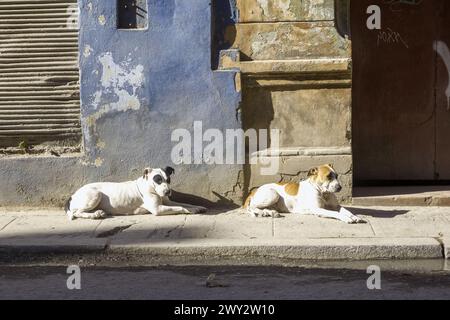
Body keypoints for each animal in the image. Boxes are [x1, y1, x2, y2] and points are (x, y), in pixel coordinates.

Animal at [64, 168, 207, 220]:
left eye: (168, 179)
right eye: (158, 180)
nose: (167, 191)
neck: (150, 186)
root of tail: (72, 195)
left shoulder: (168, 202)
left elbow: (185, 203)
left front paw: (197, 207)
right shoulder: (158, 209)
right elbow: (181, 207)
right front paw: (192, 211)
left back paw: (98, 212)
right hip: (95, 195)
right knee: (77, 212)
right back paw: (94, 215)